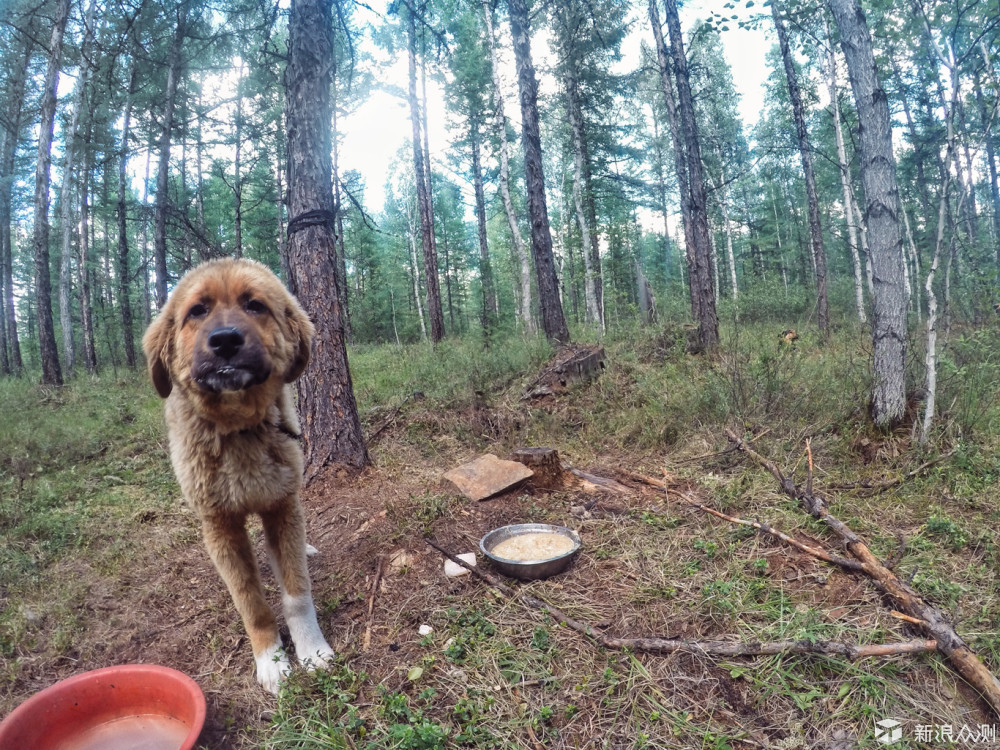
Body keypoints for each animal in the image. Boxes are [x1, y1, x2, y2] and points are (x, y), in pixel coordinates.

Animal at [143, 258, 334, 692]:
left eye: (255, 305)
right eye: (197, 311)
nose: (225, 341)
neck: (239, 431)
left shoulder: (281, 506)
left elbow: (297, 594)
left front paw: (311, 650)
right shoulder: (221, 526)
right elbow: (252, 603)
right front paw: (272, 661)